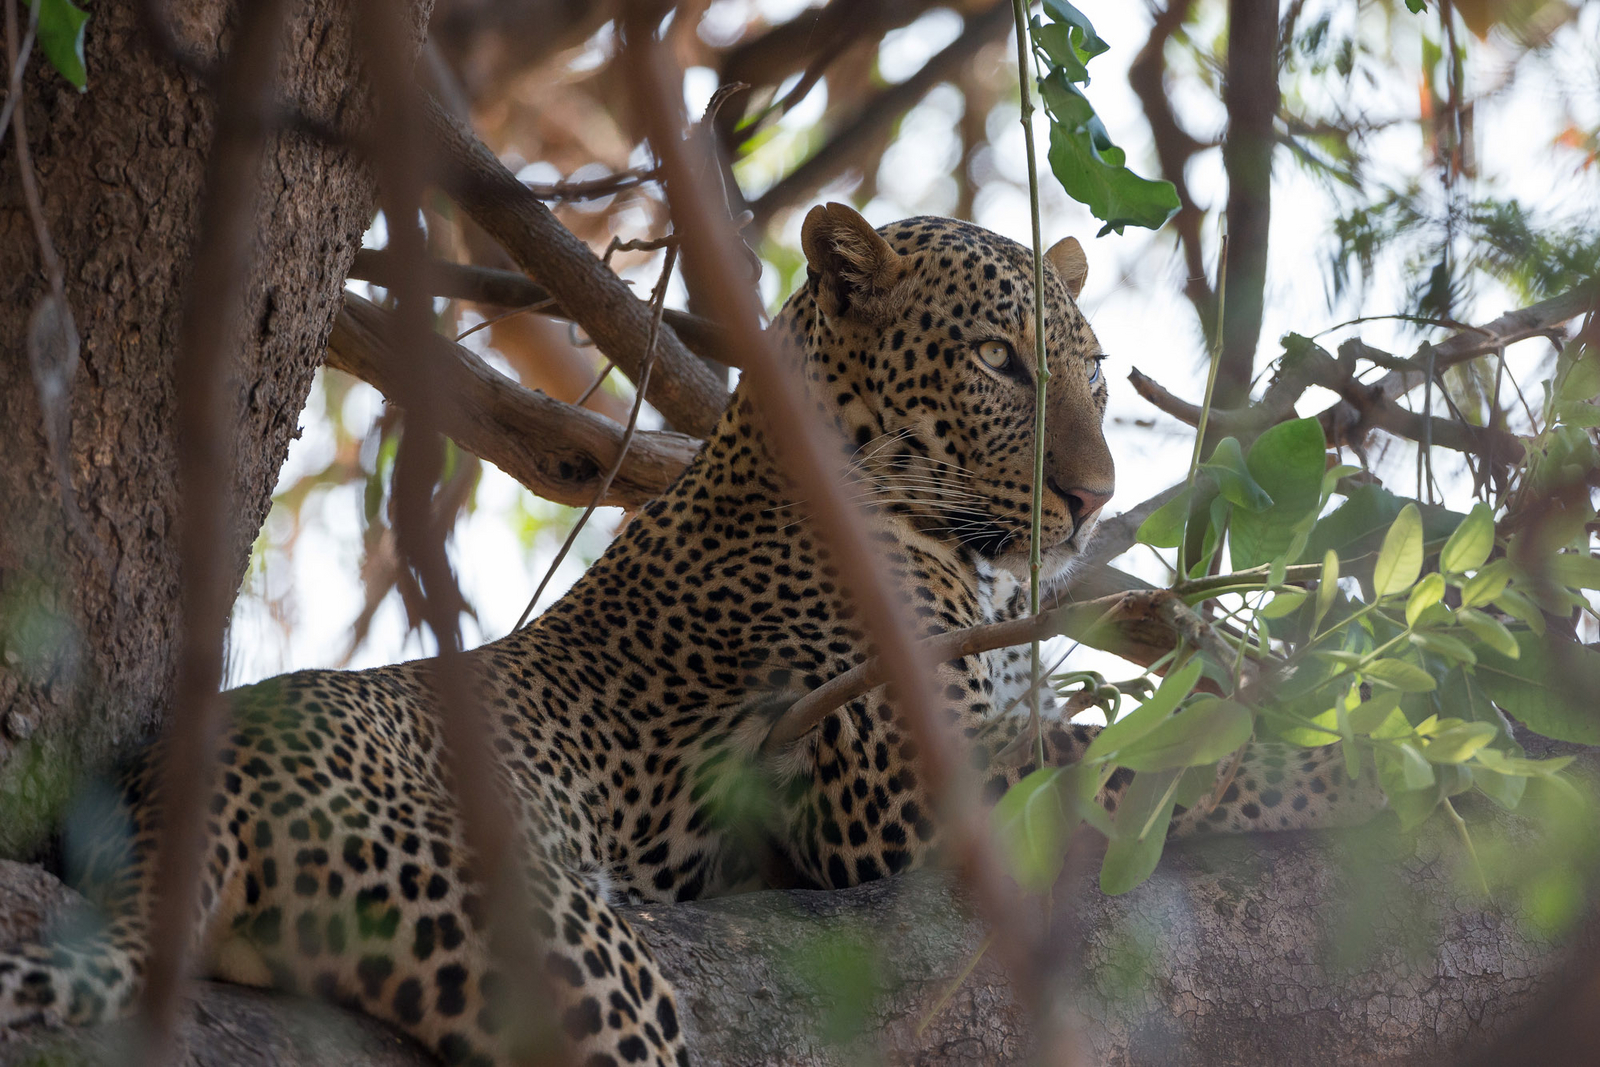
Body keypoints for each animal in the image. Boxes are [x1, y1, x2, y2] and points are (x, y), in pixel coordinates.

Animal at [0, 204, 1385, 1067]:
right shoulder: (898, 796)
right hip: (573, 954)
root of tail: (173, 790)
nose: (1093, 495)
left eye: (1096, 372)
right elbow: (1186, 757)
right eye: (1001, 360)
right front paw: (1399, 762)